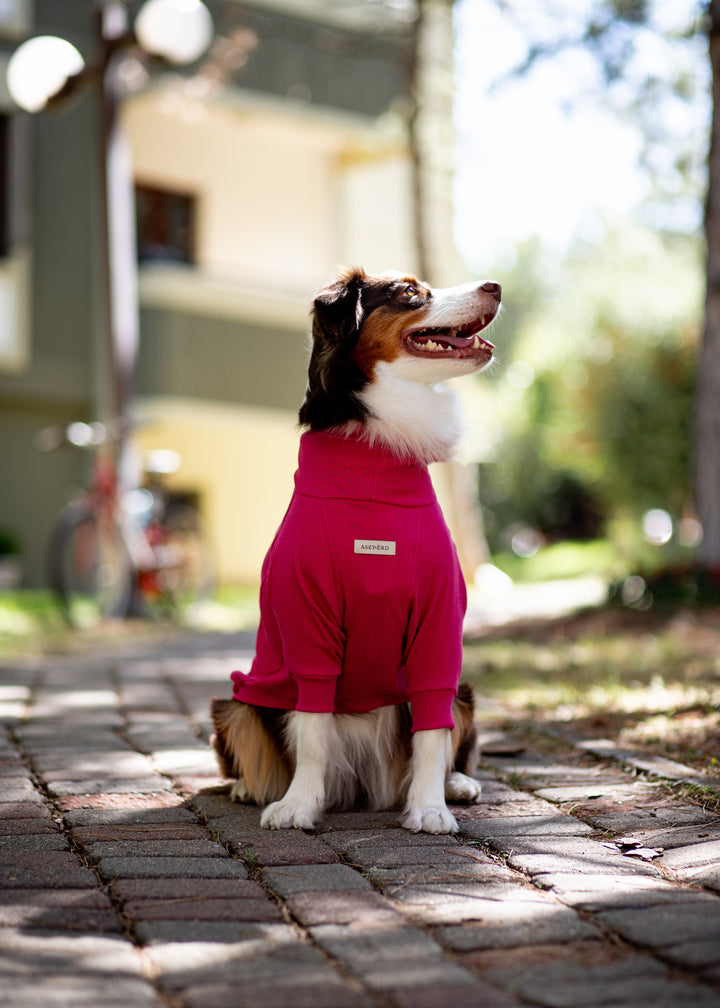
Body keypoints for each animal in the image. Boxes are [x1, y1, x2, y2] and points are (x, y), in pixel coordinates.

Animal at [208, 268, 500, 834]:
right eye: (410, 292)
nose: (495, 286)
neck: (374, 459)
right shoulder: (306, 616)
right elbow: (312, 730)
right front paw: (300, 804)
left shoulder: (438, 622)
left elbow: (432, 733)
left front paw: (429, 807)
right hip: (237, 699)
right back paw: (248, 788)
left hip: (465, 689)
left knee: (450, 731)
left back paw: (457, 784)